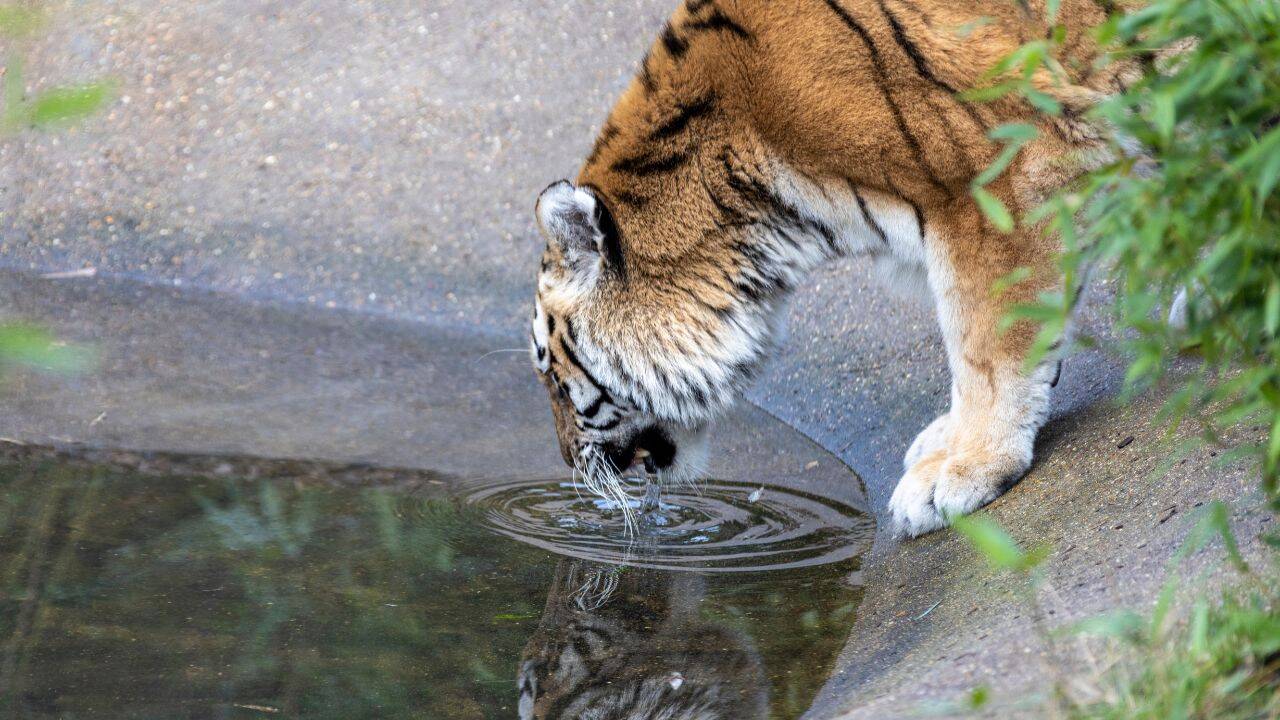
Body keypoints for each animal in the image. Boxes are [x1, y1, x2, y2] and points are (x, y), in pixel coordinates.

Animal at [528, 0, 1149, 537]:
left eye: (554, 377)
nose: (567, 463)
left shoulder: (997, 171)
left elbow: (986, 342)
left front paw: (966, 468)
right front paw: (947, 441)